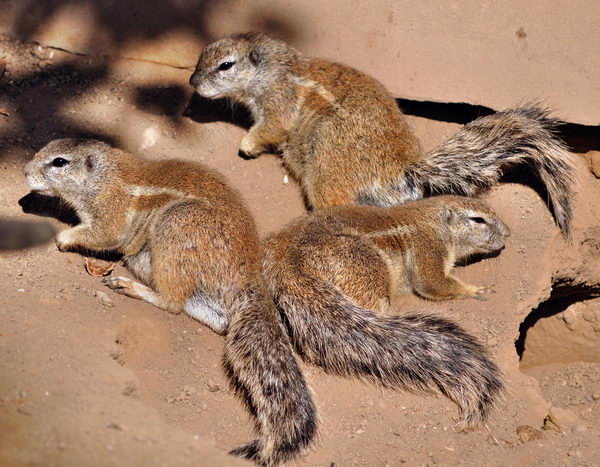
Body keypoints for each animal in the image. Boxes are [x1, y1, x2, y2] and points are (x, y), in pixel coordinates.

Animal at [22, 140, 318, 467]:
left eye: (59, 162)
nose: (24, 171)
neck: (104, 176)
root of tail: (249, 275)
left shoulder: (110, 214)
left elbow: (103, 234)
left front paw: (62, 237)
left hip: (174, 226)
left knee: (172, 302)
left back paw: (130, 286)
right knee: (215, 319)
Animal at [190, 33, 576, 236]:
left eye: (225, 65)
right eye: (200, 54)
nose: (192, 81)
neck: (276, 68)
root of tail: (405, 170)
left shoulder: (277, 105)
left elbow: (267, 129)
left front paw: (246, 145)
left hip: (325, 174)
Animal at [262, 196, 506, 430]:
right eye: (478, 220)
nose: (508, 234)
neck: (435, 222)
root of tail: (291, 262)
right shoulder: (429, 249)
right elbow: (433, 283)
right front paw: (474, 290)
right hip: (367, 271)